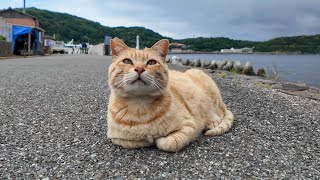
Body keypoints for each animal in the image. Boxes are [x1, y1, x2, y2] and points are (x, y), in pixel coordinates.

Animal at [106, 38, 234, 152]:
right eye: (127, 61)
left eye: (151, 62)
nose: (139, 69)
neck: (139, 105)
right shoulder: (116, 138)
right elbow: (135, 141)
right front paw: (148, 137)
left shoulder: (190, 126)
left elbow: (167, 143)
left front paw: (158, 138)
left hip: (208, 90)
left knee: (219, 111)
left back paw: (212, 121)